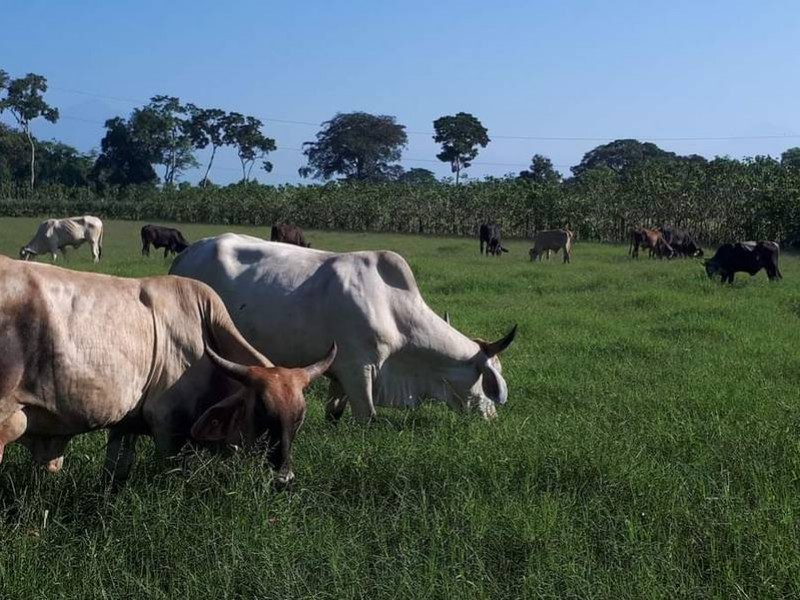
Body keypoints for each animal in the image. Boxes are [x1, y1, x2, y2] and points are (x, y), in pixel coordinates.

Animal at [0, 258, 334, 488]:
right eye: (263, 412)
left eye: (299, 417)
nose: (284, 479)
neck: (206, 331)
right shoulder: (168, 427)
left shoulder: (125, 425)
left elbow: (115, 471)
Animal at [171, 233, 516, 422]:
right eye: (488, 380)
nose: (492, 417)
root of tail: (186, 253)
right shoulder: (358, 368)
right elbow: (367, 417)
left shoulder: (339, 372)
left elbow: (334, 413)